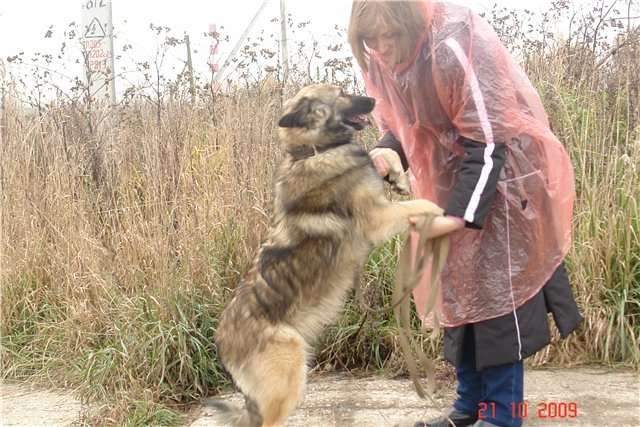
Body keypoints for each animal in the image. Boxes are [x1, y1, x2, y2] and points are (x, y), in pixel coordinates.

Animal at [212, 84, 438, 427]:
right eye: (341, 93)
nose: (374, 100)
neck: (315, 150)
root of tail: (223, 340)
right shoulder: (378, 218)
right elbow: (422, 205)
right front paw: (446, 211)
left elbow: (387, 162)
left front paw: (398, 178)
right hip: (289, 377)